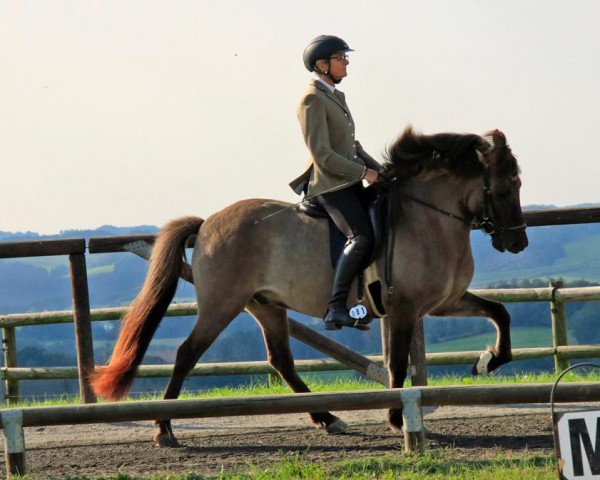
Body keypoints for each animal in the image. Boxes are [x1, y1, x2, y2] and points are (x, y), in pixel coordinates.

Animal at [91, 125, 528, 444]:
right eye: (506, 187)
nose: (518, 243)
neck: (428, 218)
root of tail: (208, 222)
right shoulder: (404, 308)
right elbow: (399, 363)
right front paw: (396, 417)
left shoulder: (442, 302)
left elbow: (500, 313)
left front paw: (489, 360)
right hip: (222, 303)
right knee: (186, 354)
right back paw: (164, 428)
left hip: (265, 305)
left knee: (280, 360)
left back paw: (327, 417)